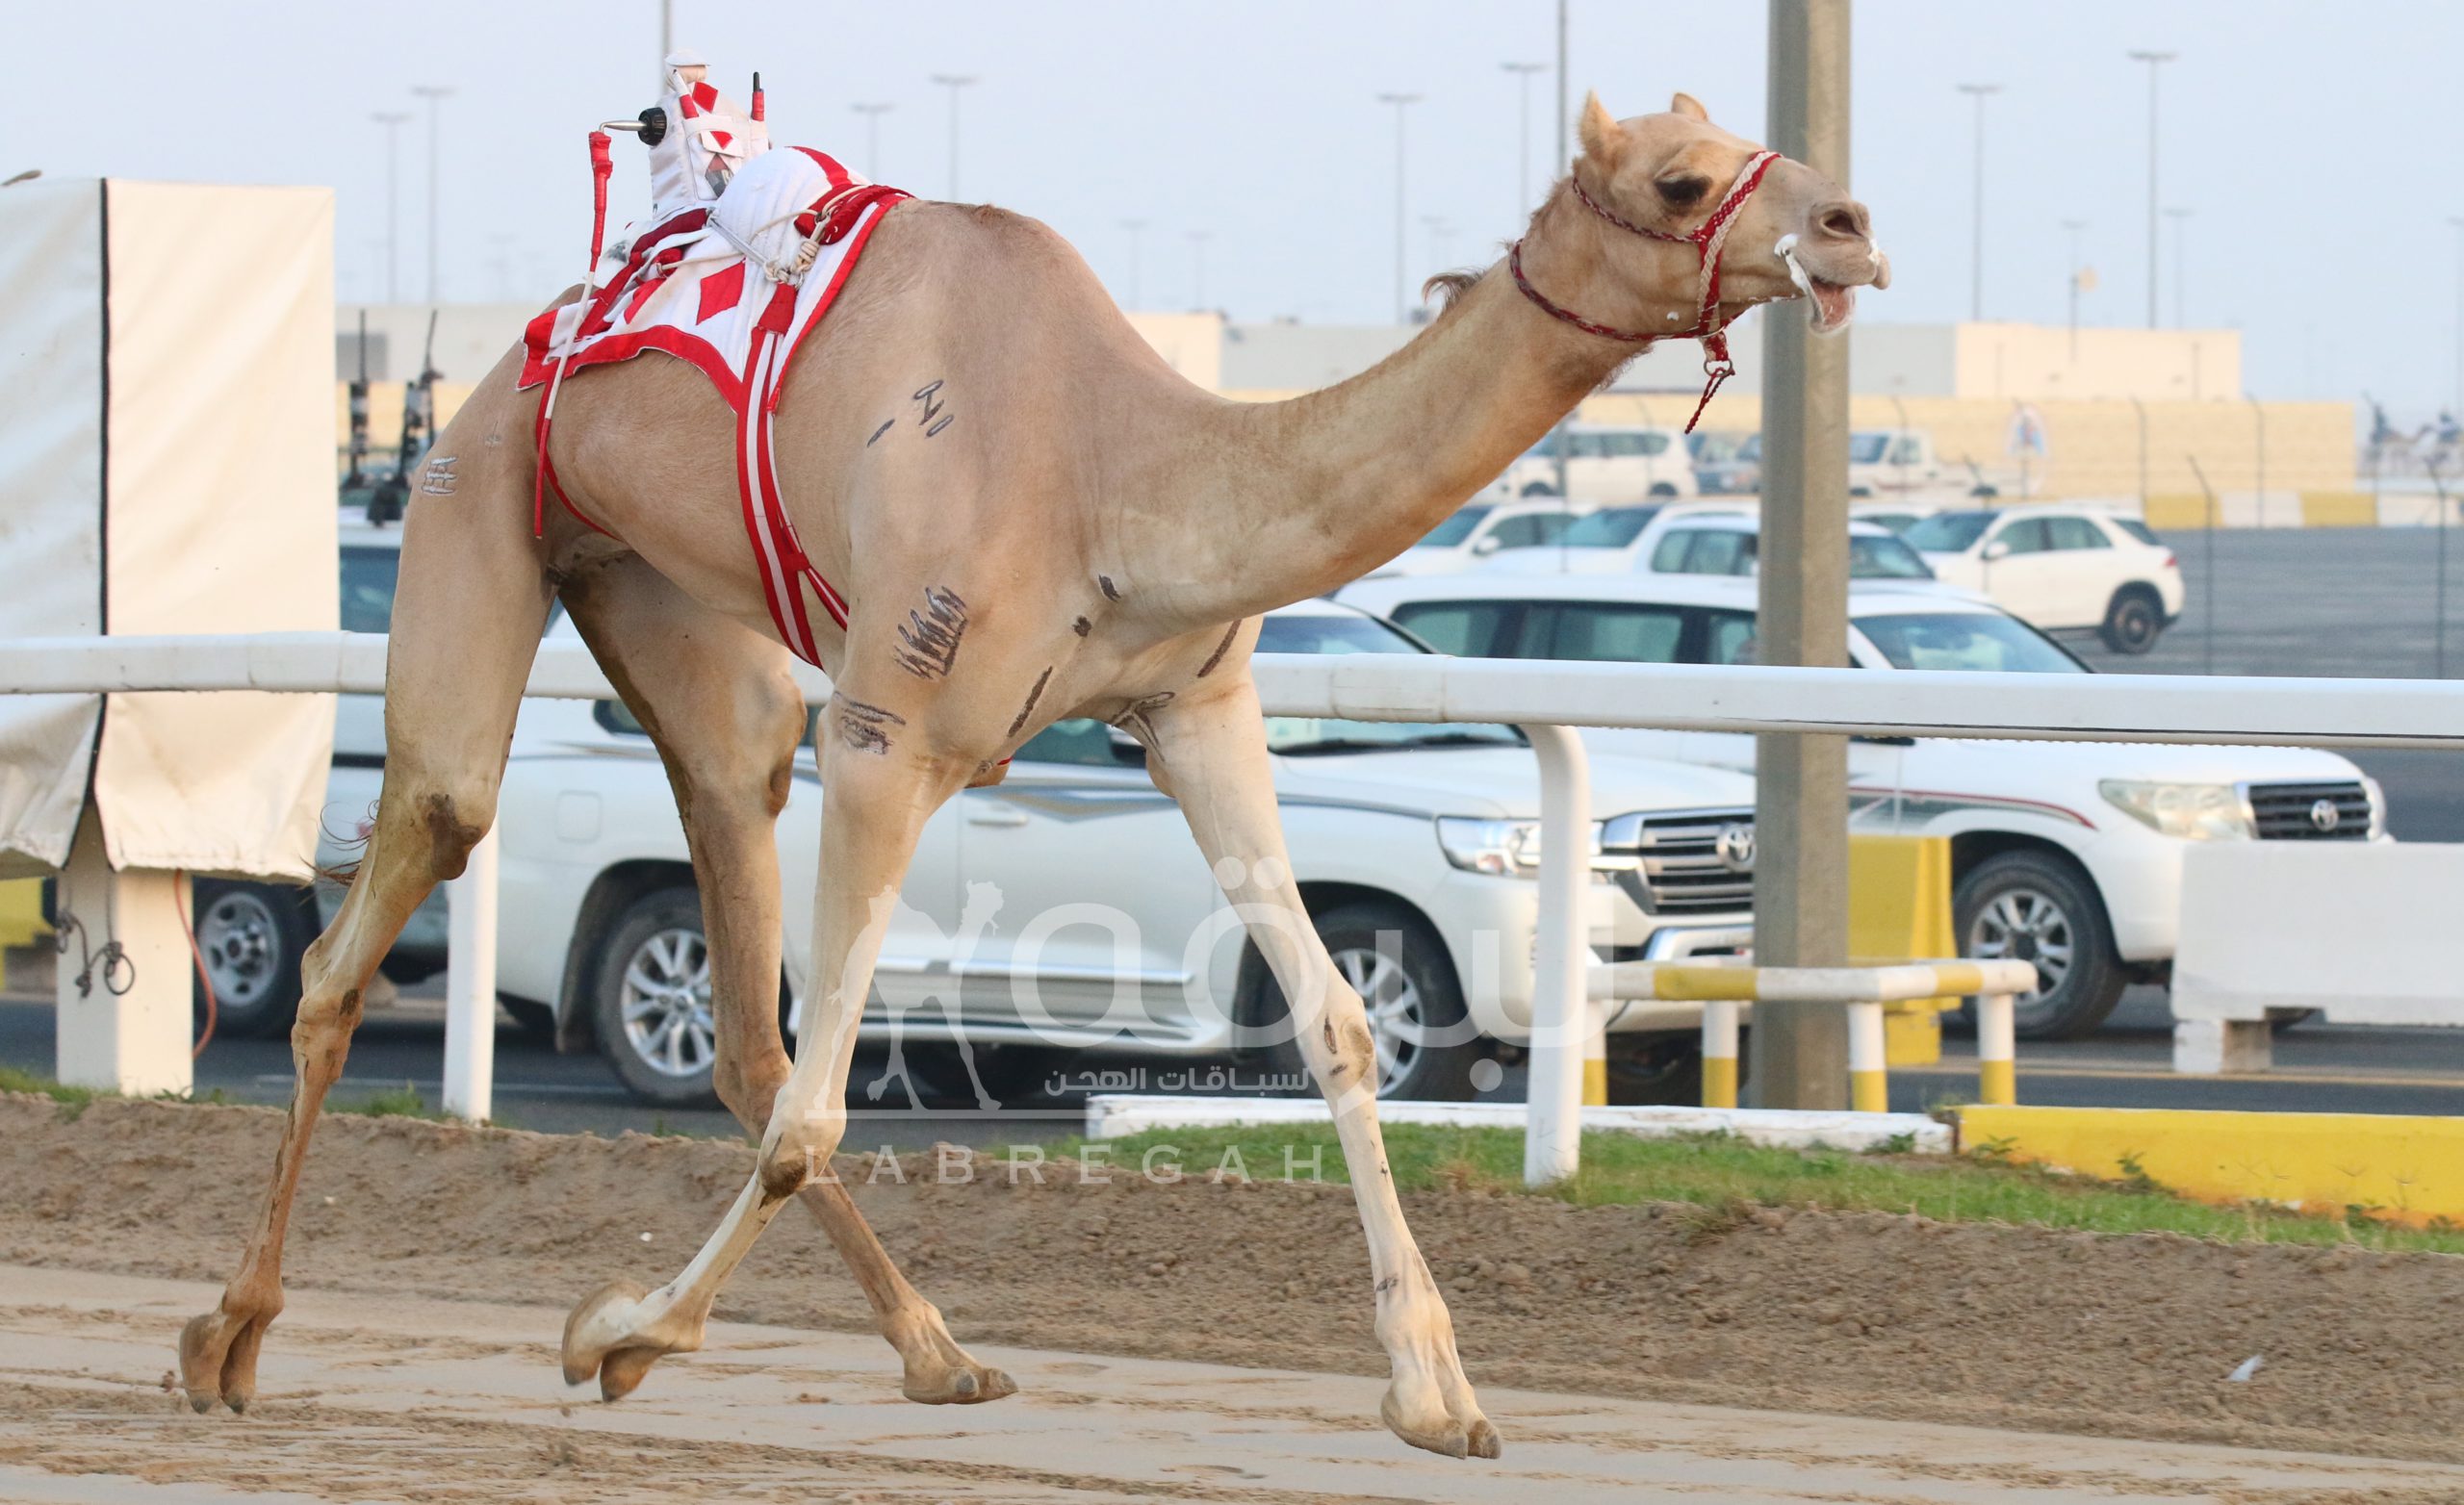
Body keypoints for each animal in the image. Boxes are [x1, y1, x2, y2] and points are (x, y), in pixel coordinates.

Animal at [178, 93, 1882, 1458]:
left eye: (1743, 138)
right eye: (1680, 177)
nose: (1853, 227)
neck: (1118, 471)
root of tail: (523, 348)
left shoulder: (1197, 711)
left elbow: (1337, 1024)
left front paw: (1437, 1395)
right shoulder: (891, 729)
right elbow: (821, 1111)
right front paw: (615, 1332)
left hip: (686, 639)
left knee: (737, 996)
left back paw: (942, 1356)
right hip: (482, 511)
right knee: (386, 905)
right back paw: (226, 1338)